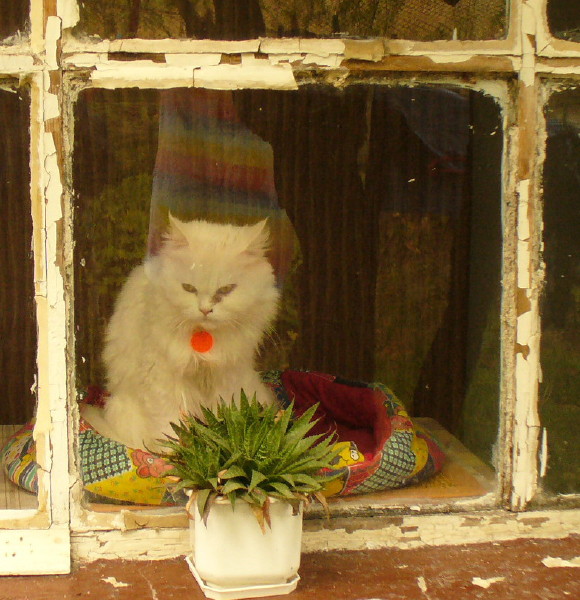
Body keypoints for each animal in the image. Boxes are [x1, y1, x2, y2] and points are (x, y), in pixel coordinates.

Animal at [81, 216, 280, 451]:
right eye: (189, 288)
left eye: (225, 290)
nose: (205, 310)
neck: (204, 336)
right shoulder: (161, 376)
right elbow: (168, 424)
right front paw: (173, 454)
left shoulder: (227, 376)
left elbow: (226, 415)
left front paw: (225, 444)